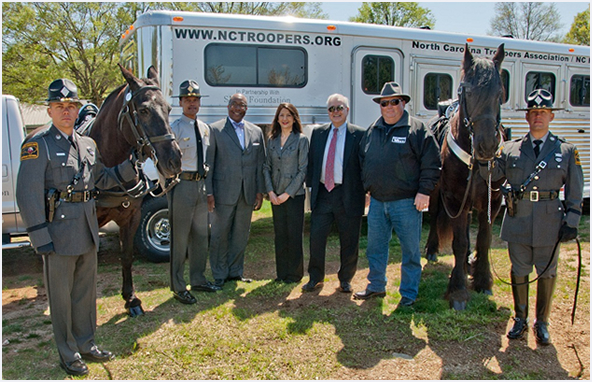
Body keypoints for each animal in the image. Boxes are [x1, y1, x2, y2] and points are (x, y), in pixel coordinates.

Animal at [89, 65, 182, 316]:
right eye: (143, 110)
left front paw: (131, 298)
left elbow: (127, 255)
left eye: (169, 108)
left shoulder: (131, 216)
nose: (174, 160)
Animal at [424, 43, 506, 310]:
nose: (487, 145)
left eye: (500, 92)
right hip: (437, 193)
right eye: (466, 92)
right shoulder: (455, 199)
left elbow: (484, 239)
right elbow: (459, 243)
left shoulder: (493, 200)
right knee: (435, 215)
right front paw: (458, 290)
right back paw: (432, 249)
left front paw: (482, 280)